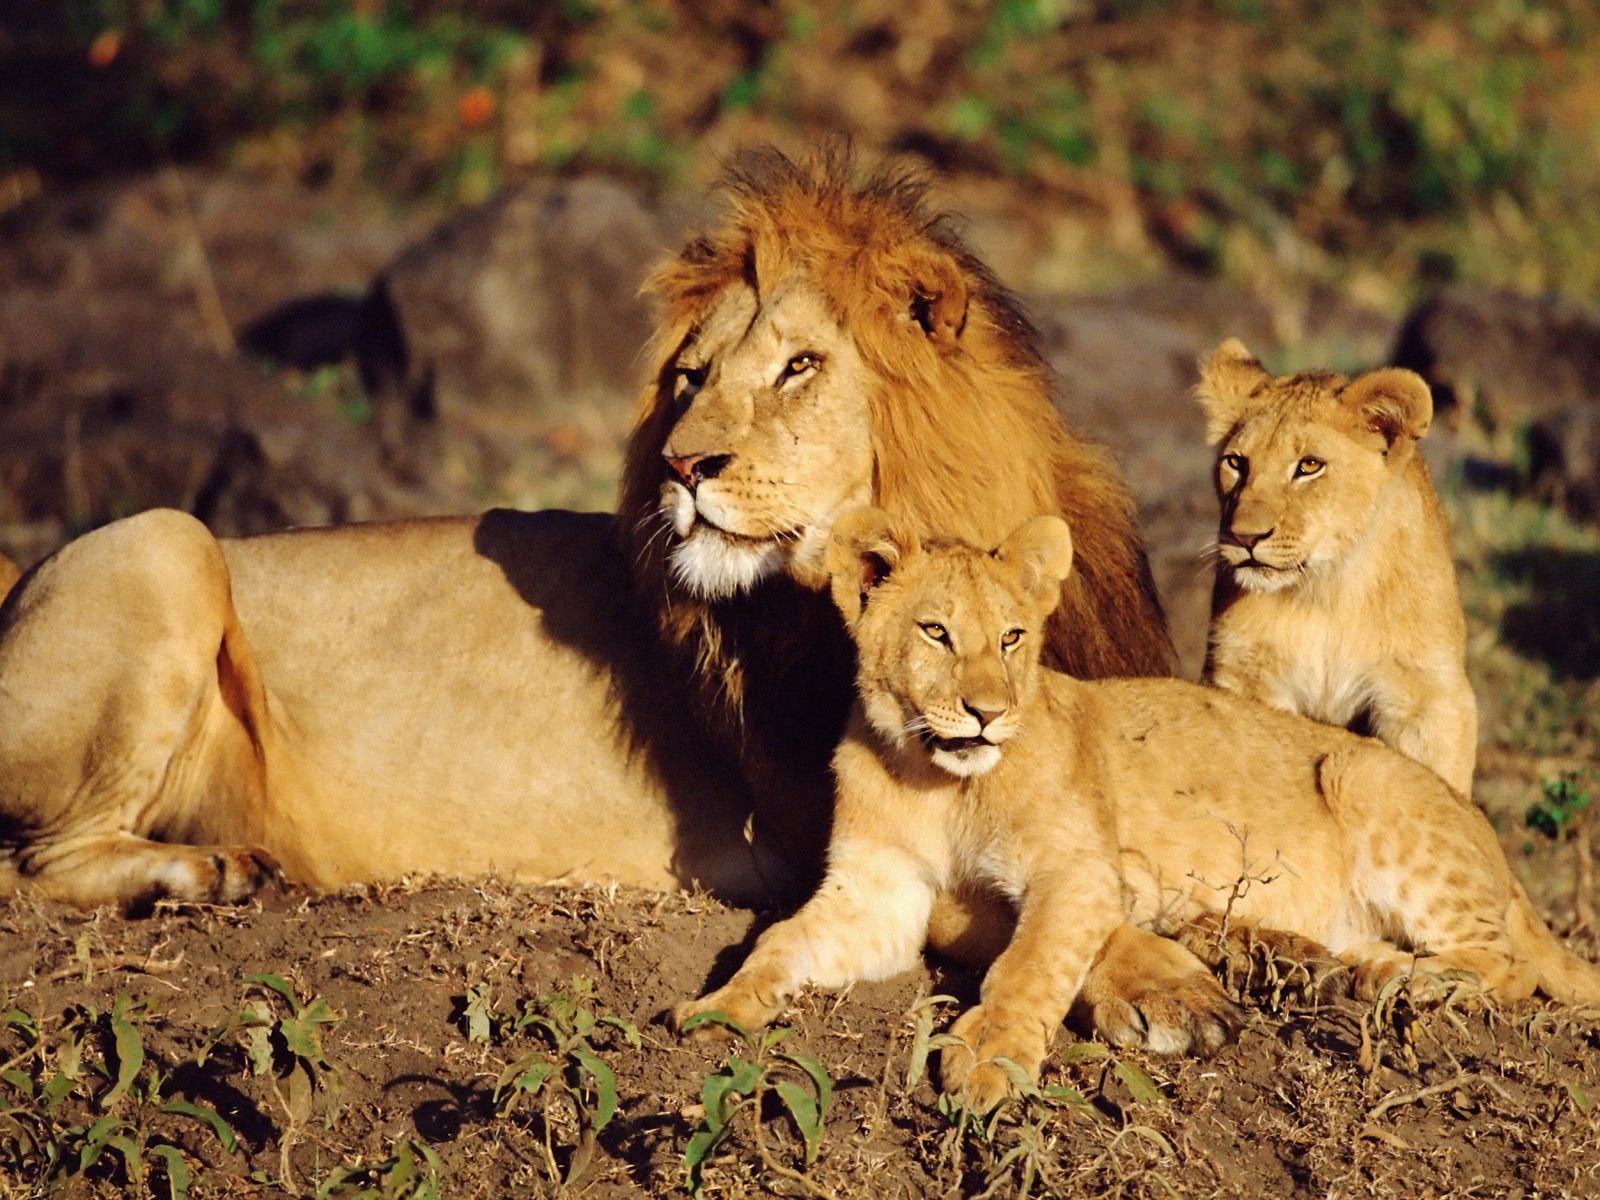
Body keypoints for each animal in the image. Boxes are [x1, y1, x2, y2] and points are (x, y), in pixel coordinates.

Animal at [0, 148, 1196, 1043]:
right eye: (690, 379)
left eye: (799, 367)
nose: (681, 464)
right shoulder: (837, 833)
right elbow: (1028, 909)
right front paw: (1165, 982)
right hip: (164, 540)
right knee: (37, 863)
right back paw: (207, 872)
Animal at [675, 505, 1600, 1107]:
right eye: (935, 632)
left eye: (1012, 638)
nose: (986, 711)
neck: (935, 779)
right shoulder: (880, 893)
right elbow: (782, 941)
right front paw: (718, 1010)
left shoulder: (1080, 869)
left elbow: (1031, 962)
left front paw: (991, 1060)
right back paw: (1341, 970)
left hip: (1361, 777)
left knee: (1504, 965)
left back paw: (1406, 983)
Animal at [1196, 339, 1478, 800]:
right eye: (1236, 463)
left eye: (1309, 466)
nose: (1244, 537)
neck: (1327, 590)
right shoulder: (1242, 674)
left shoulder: (1428, 693)